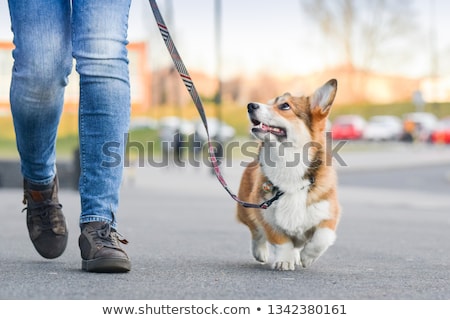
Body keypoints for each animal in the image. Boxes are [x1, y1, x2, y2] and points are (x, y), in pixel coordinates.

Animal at [237, 79, 340, 270]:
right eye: (270, 103)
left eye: (284, 106)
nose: (250, 105)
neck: (288, 162)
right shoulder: (266, 215)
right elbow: (281, 241)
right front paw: (284, 261)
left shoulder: (329, 213)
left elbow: (322, 238)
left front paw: (307, 257)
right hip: (245, 208)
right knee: (256, 232)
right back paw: (261, 252)